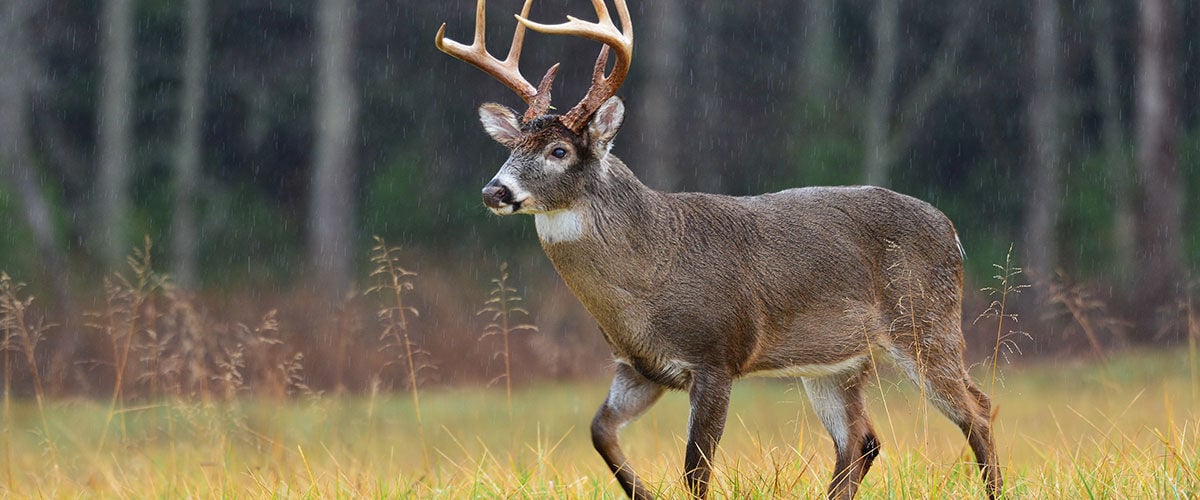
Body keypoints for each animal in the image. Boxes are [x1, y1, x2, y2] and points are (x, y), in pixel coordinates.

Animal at [436, 1, 1002, 498]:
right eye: (511, 148)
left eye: (558, 150)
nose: (494, 191)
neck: (650, 275)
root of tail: (952, 232)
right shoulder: (637, 366)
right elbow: (600, 432)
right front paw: (644, 494)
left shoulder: (717, 355)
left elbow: (696, 469)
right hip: (835, 363)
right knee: (861, 441)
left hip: (925, 323)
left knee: (977, 409)